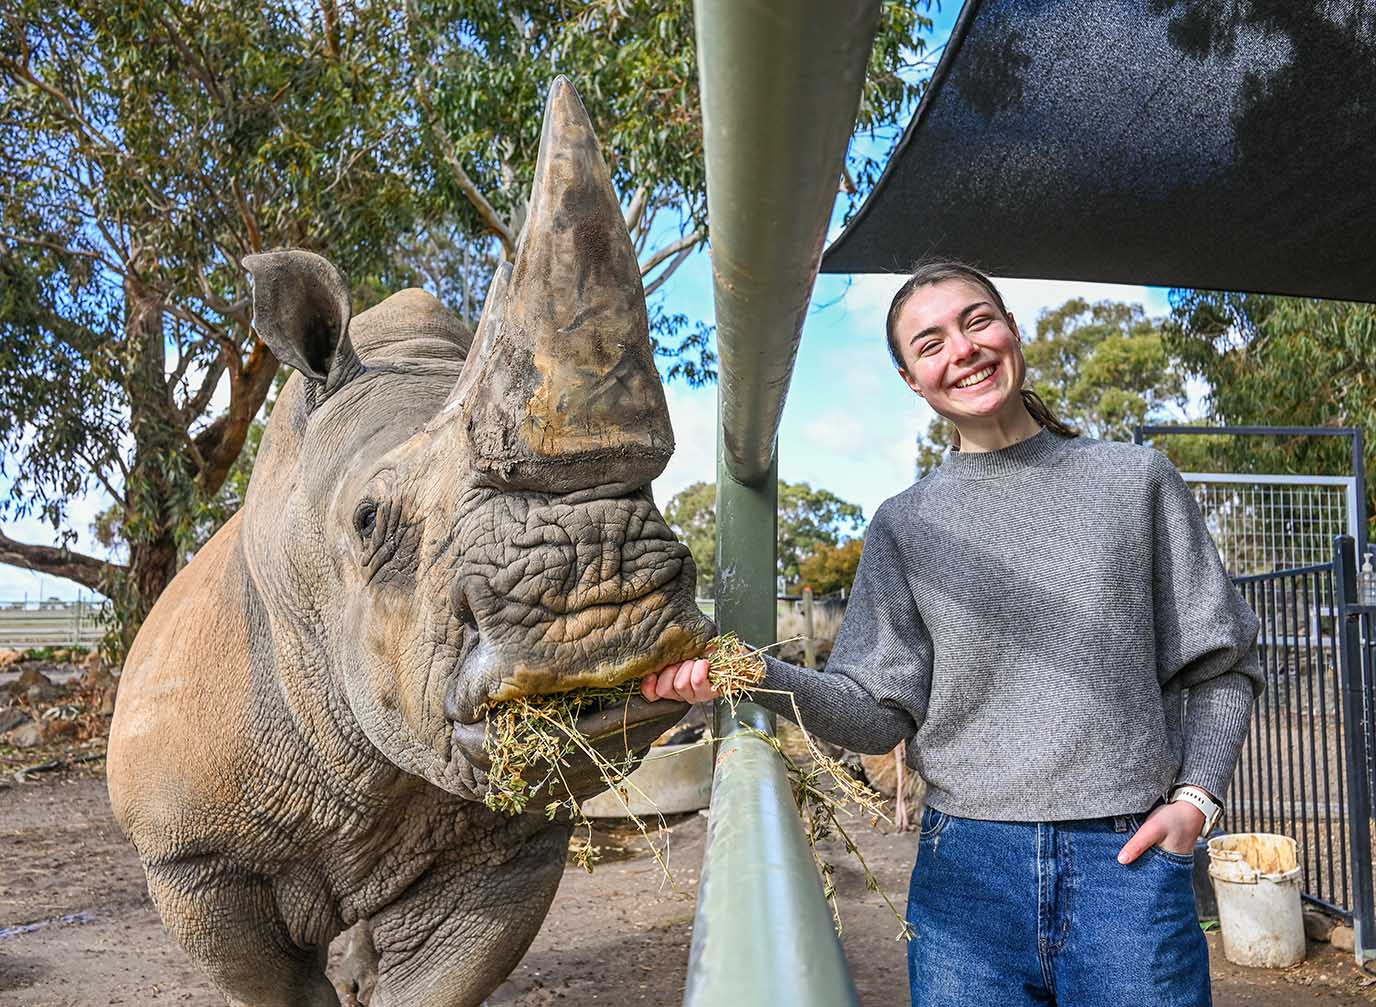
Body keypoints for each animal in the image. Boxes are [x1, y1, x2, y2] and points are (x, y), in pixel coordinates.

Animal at [106, 77, 714, 1007]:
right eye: (367, 521)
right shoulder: (192, 858)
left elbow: (447, 974)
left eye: (648, 491)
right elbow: (276, 985)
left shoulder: (516, 831)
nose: (599, 604)